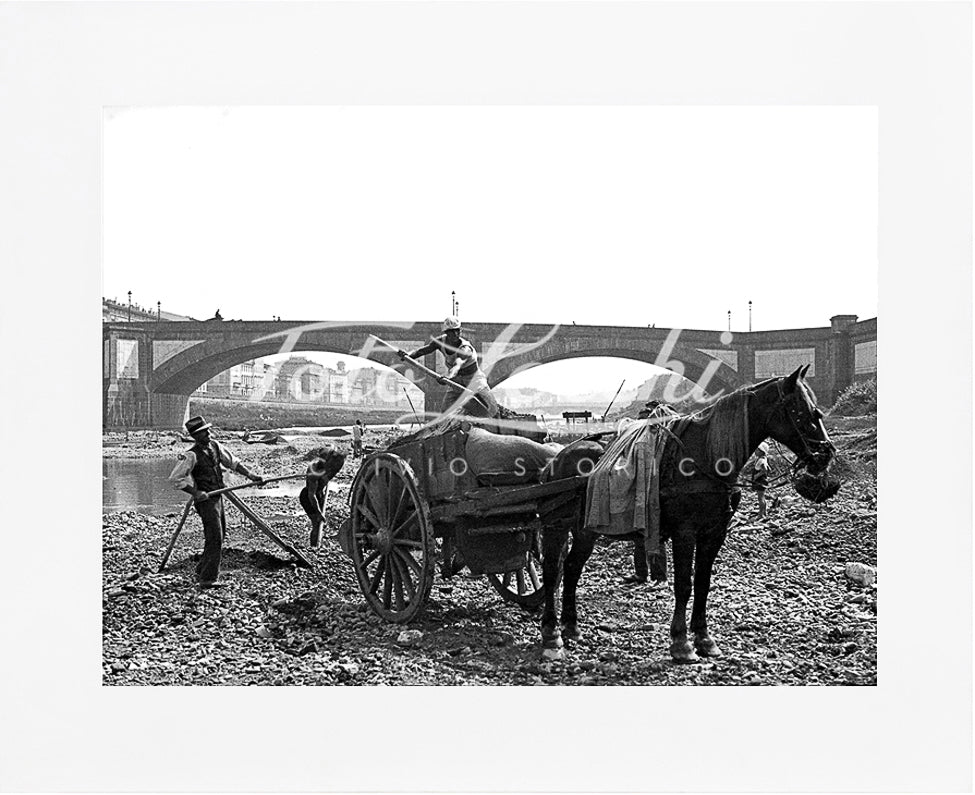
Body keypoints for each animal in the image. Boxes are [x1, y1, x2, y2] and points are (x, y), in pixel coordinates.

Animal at [536, 366, 836, 664]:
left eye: (817, 411)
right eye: (803, 411)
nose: (826, 454)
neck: (706, 458)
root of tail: (556, 459)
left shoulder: (714, 533)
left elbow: (703, 582)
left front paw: (704, 638)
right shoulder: (685, 532)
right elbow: (684, 584)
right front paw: (681, 642)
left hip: (585, 529)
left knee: (572, 568)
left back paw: (571, 626)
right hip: (555, 525)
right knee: (552, 571)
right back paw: (551, 634)